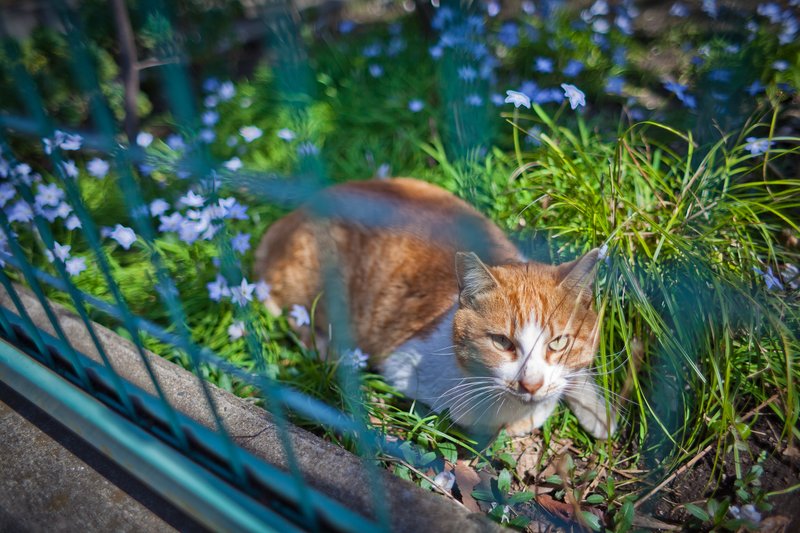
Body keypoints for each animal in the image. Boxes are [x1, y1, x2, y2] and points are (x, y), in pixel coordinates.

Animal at [253, 178, 616, 436]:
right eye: (502, 342)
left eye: (558, 343)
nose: (531, 385)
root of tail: (293, 215)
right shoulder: (402, 367)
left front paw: (600, 413)